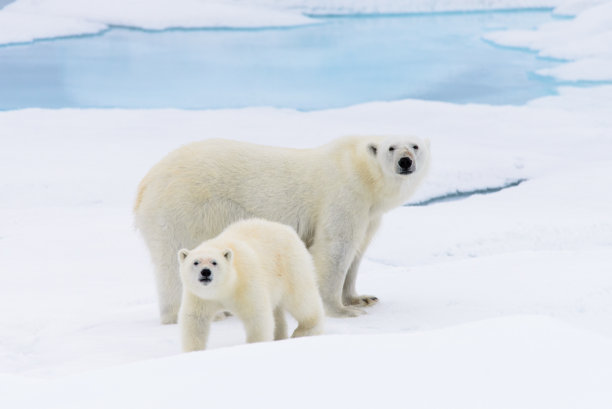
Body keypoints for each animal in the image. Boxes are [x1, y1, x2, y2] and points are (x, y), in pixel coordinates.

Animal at [134, 136, 430, 322]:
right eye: (391, 147)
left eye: (415, 146)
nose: (406, 161)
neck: (360, 171)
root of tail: (145, 184)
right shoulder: (343, 195)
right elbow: (335, 248)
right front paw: (343, 311)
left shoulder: (369, 214)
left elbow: (356, 252)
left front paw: (362, 298)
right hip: (185, 210)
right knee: (175, 263)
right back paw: (205, 313)